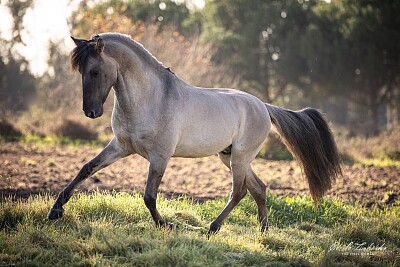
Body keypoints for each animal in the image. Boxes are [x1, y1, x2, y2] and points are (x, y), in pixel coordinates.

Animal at [46, 32, 340, 236]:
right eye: (82, 72)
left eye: (95, 71)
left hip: (240, 158)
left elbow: (149, 196)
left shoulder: (160, 156)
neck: (150, 98)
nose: (91, 112)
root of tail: (264, 106)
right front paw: (55, 211)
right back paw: (263, 230)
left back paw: (213, 228)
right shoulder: (120, 146)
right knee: (259, 188)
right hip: (229, 156)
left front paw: (166, 225)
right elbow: (86, 169)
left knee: (239, 192)